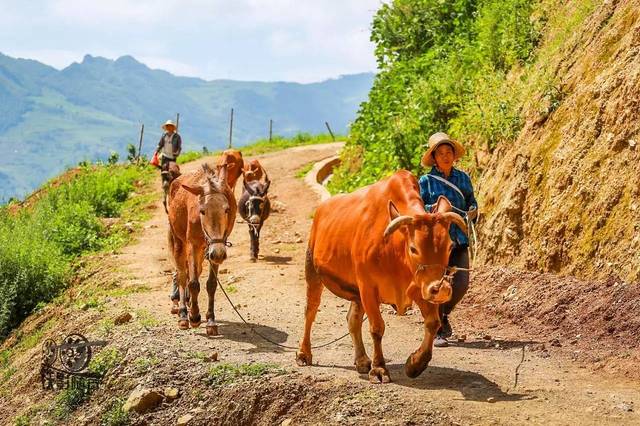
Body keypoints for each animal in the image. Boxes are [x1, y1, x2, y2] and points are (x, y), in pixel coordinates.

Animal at [166, 161, 236, 334]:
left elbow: (211, 284)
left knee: (195, 271)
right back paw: (184, 314)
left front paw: (210, 320)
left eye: (227, 209)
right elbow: (192, 283)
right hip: (179, 243)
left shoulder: (216, 248)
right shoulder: (194, 245)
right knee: (182, 275)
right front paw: (194, 317)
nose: (218, 254)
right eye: (202, 211)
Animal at [296, 170, 464, 382]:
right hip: (312, 270)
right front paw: (379, 369)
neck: (394, 247)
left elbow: (433, 323)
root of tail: (322, 208)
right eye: (413, 248)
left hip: (356, 292)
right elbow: (377, 328)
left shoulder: (420, 287)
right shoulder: (368, 287)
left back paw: (361, 360)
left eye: (450, 246)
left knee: (352, 320)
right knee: (310, 311)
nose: (441, 289)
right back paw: (304, 353)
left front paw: (415, 364)